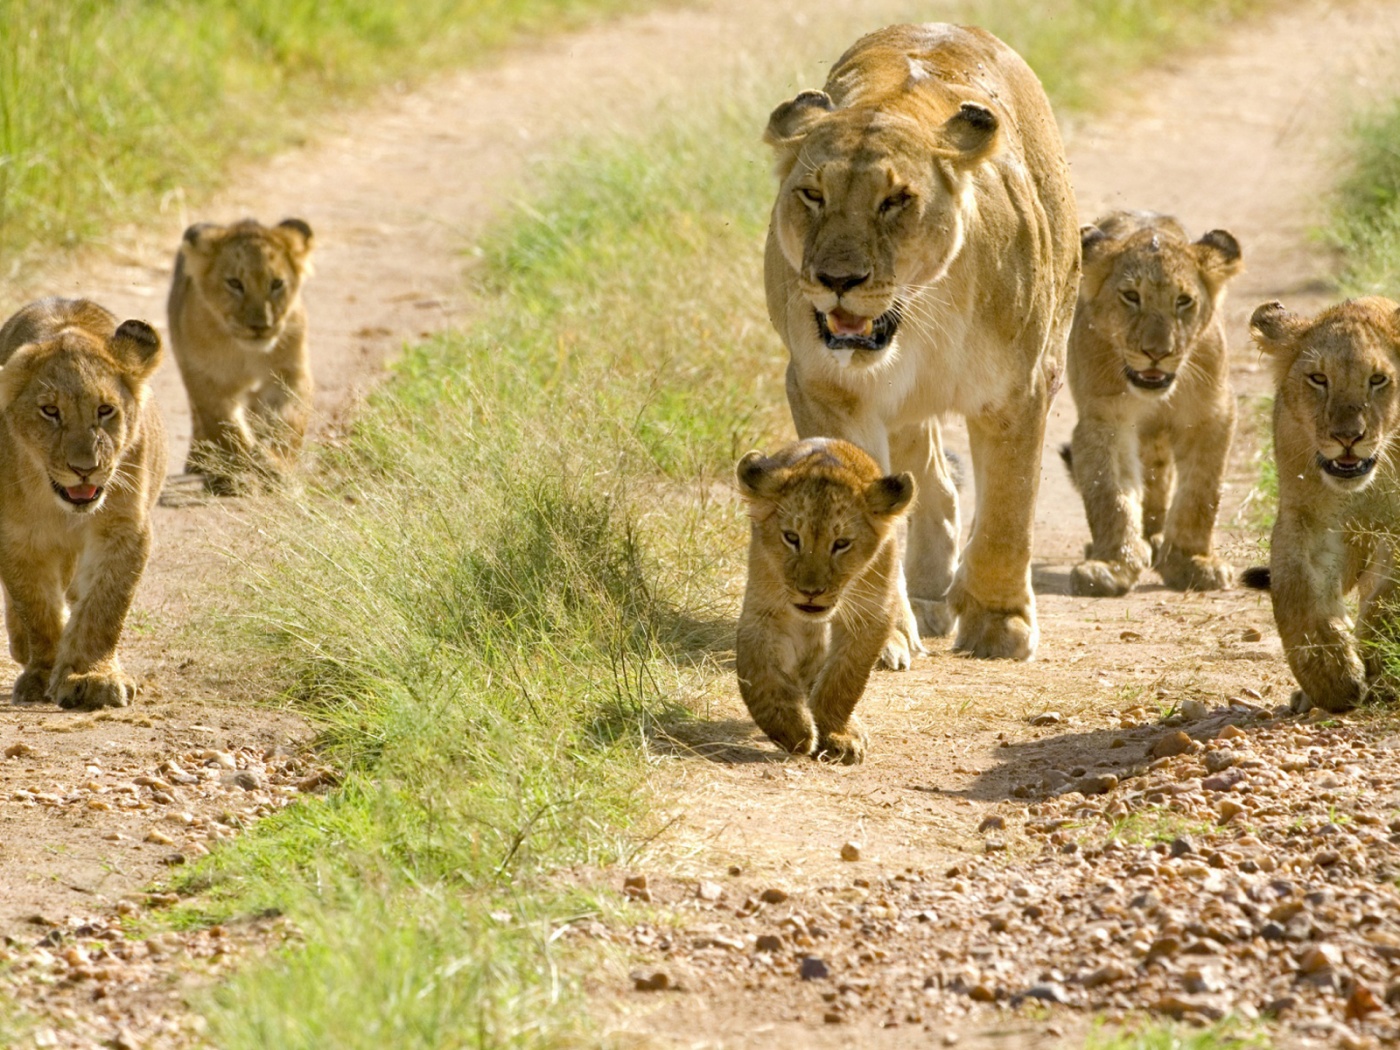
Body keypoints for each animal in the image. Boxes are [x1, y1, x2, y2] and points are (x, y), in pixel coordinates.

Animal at [0, 299, 166, 711]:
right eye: (50, 411)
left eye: (105, 410)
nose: (84, 469)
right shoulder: (17, 536)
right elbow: (36, 607)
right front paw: (42, 673)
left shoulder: (123, 528)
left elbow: (105, 606)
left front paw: (91, 677)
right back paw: (22, 648)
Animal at [767, 22, 1069, 666]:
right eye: (812, 195)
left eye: (895, 200)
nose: (838, 279)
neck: (919, 314)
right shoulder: (826, 389)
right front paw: (877, 635)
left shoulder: (1019, 391)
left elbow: (1009, 511)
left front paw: (999, 625)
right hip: (902, 408)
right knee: (935, 482)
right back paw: (929, 595)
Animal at [1248, 298, 1400, 716]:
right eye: (1318, 378)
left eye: (1378, 379)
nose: (1347, 437)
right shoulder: (1306, 519)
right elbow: (1297, 591)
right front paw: (1332, 677)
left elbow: (1387, 597)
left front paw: (1379, 659)